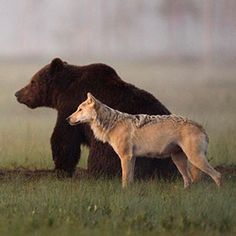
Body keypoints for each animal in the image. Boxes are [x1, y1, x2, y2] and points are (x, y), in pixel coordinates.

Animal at [15, 57, 178, 179]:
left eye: (32, 82)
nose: (18, 93)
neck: (62, 90)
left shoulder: (70, 106)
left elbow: (64, 137)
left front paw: (60, 168)